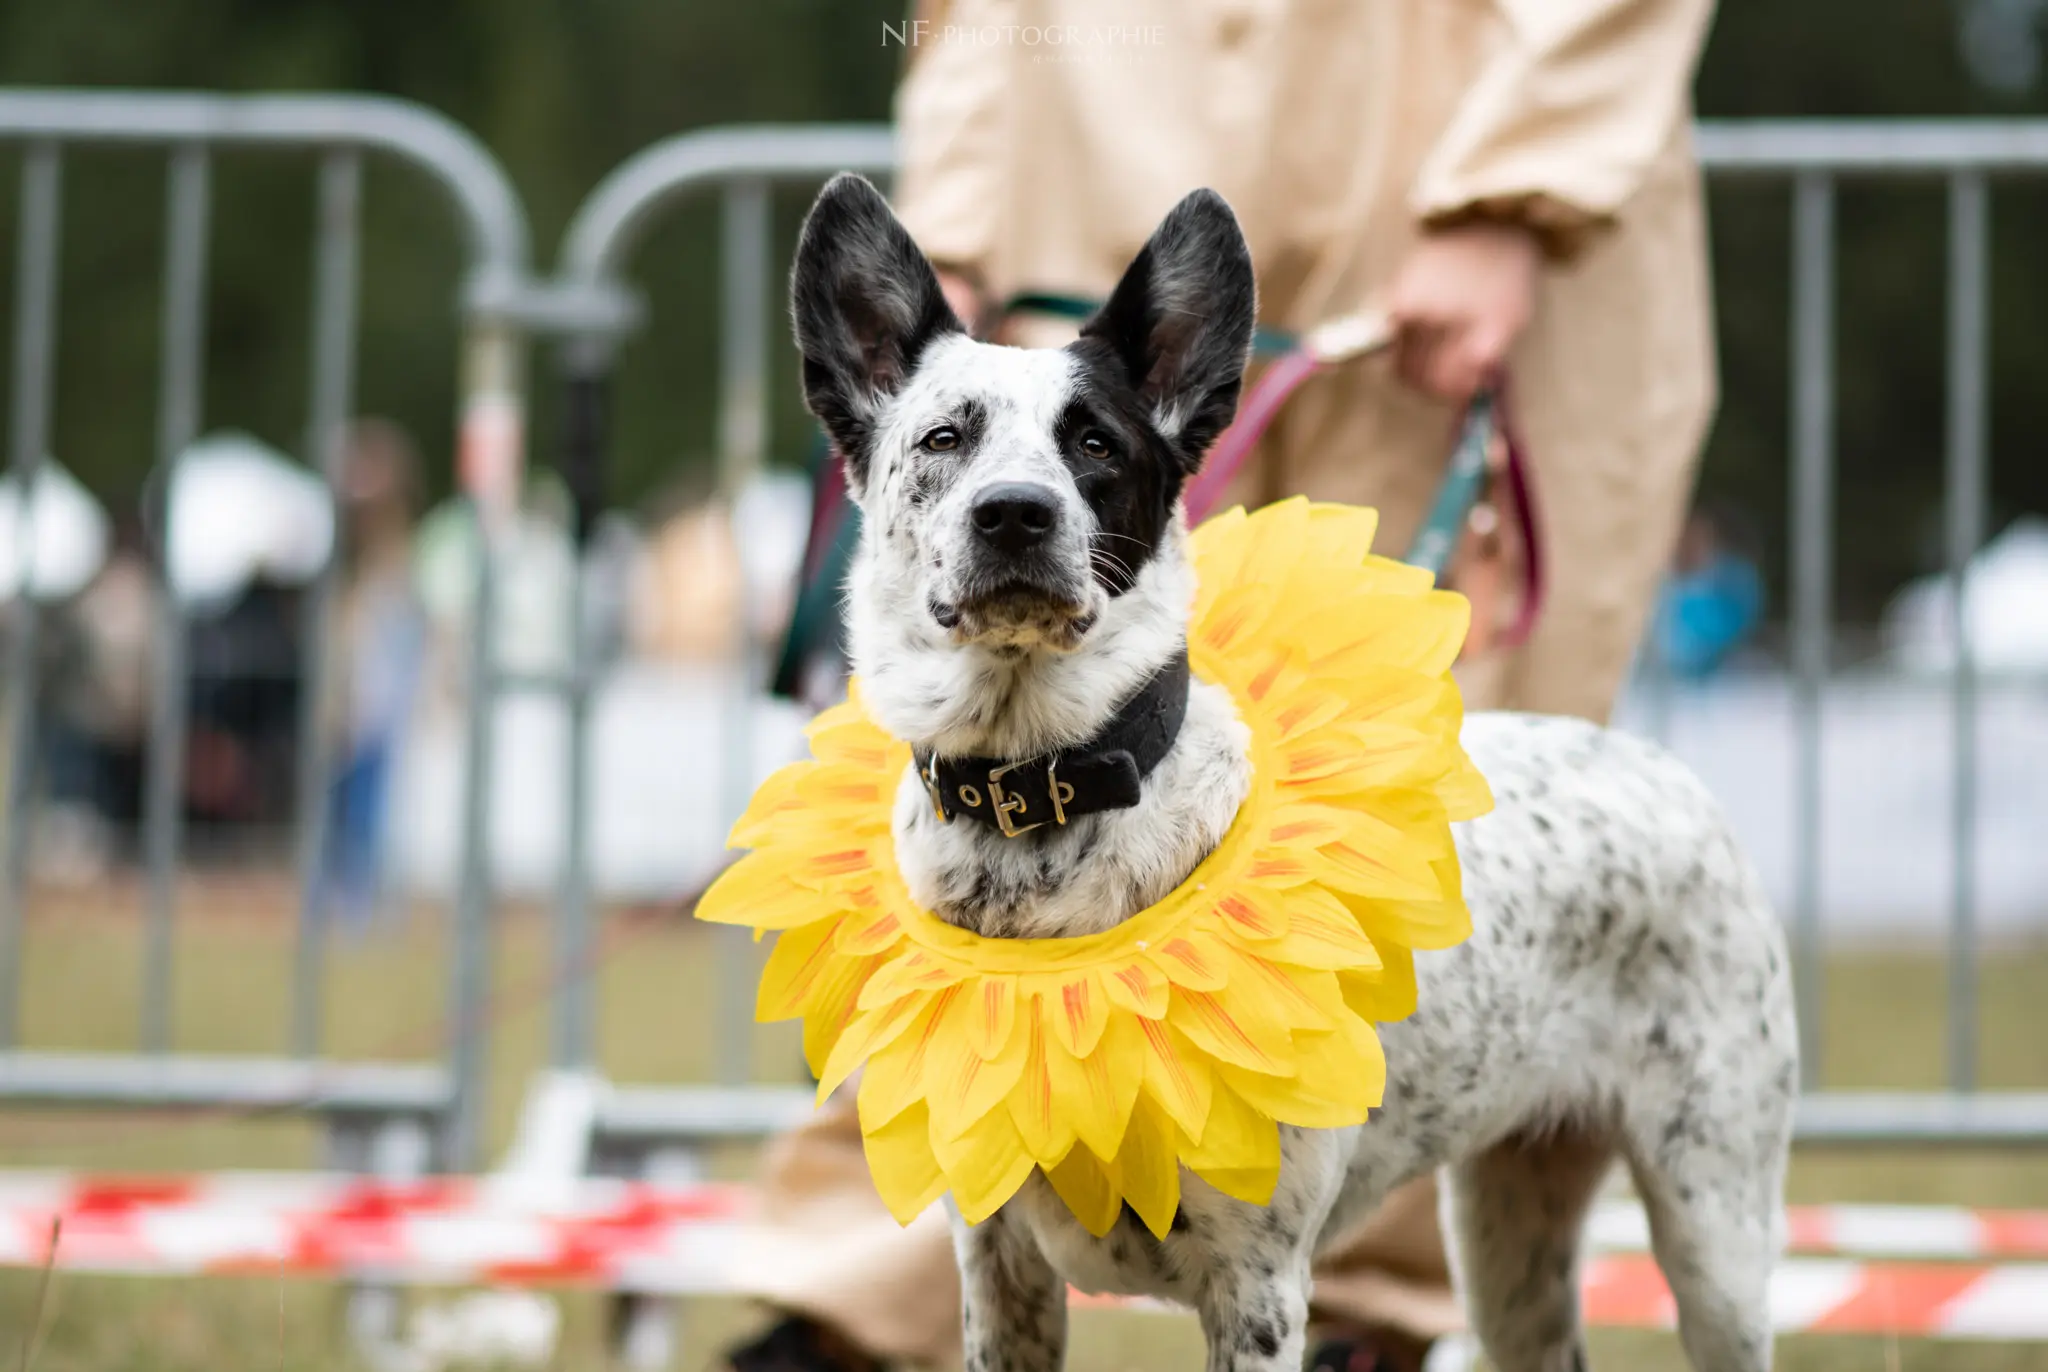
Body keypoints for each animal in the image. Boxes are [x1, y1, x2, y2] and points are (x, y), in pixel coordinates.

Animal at [782, 177, 1794, 1372]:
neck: (1043, 804)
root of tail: (1651, 762)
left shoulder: (1256, 1283)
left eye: (1095, 443)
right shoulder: (997, 1268)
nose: (1016, 513)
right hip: (1511, 1233)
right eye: (943, 436)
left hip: (1712, 1223)